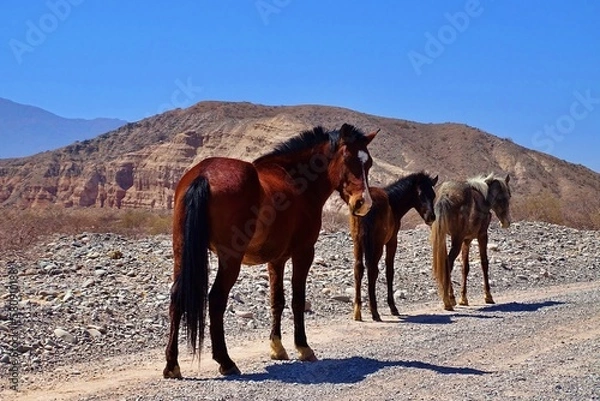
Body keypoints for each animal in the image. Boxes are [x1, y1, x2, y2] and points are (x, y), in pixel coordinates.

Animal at [163, 123, 380, 376]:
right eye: (347, 159)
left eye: (368, 163)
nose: (363, 203)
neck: (296, 181)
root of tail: (203, 174)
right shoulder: (303, 253)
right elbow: (297, 300)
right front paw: (303, 347)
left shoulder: (276, 260)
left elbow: (277, 300)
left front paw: (277, 348)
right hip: (230, 260)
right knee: (216, 299)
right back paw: (226, 361)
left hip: (181, 253)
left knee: (177, 297)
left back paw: (172, 365)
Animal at [350, 170, 438, 320]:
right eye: (420, 194)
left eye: (433, 194)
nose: (431, 217)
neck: (392, 202)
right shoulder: (391, 241)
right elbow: (389, 271)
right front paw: (393, 307)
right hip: (377, 244)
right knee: (372, 270)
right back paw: (374, 311)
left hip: (357, 242)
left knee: (358, 269)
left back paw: (357, 312)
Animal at [432, 173, 510, 310]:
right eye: (504, 197)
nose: (506, 222)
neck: (484, 198)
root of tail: (445, 195)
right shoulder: (482, 235)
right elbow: (484, 263)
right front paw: (488, 296)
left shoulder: (466, 240)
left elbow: (465, 267)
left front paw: (463, 299)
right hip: (457, 240)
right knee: (449, 263)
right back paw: (447, 300)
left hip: (444, 237)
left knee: (445, 262)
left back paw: (450, 297)